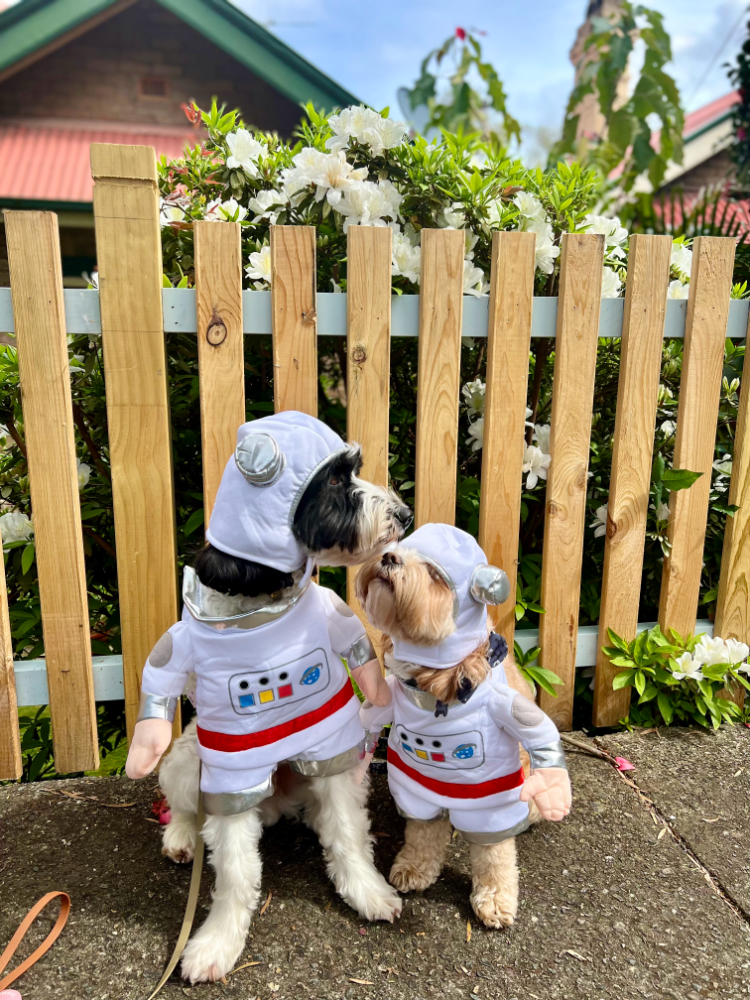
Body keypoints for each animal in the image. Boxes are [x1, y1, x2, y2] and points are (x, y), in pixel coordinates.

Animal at [158, 442, 412, 980]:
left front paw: (368, 891)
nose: (404, 514)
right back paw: (182, 837)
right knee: (186, 806)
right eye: (334, 481)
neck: (266, 607)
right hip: (187, 761)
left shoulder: (329, 742)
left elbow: (347, 831)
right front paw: (216, 943)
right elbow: (235, 870)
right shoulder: (231, 767)